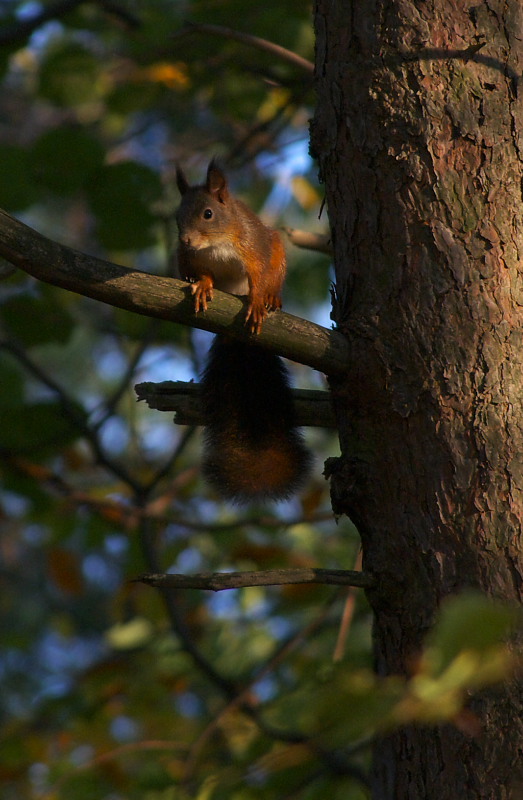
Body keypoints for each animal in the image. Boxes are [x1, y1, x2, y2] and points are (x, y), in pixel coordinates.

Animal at [176, 159, 312, 504]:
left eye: (208, 213)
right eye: (176, 215)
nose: (185, 240)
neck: (215, 245)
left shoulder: (254, 246)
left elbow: (259, 277)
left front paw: (258, 301)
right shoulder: (188, 260)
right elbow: (200, 274)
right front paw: (202, 286)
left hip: (276, 247)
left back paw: (272, 300)